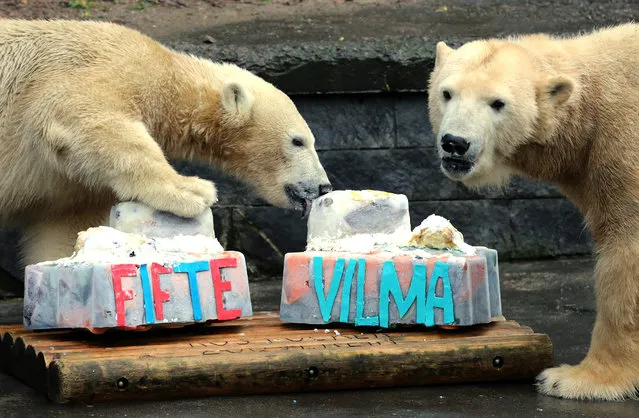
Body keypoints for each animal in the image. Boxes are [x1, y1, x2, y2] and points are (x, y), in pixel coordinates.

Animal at [0, 19, 330, 266]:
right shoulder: (98, 68)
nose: (323, 186)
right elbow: (85, 117)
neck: (168, 76)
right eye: (298, 141)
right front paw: (192, 190)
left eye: (309, 140)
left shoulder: (71, 185)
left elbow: (63, 227)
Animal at [430, 23, 639, 402]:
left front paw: (574, 379)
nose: (455, 143)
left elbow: (627, 253)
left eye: (497, 103)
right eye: (447, 93)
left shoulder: (623, 143)